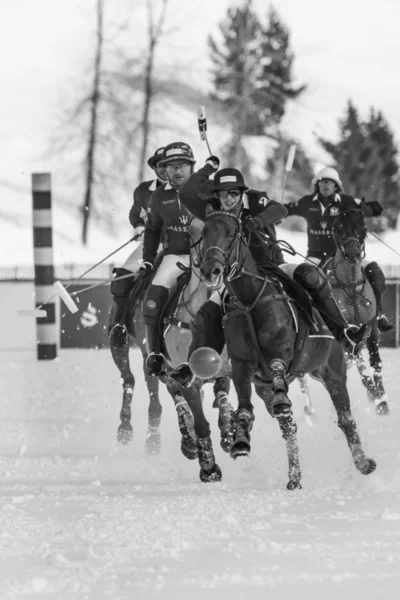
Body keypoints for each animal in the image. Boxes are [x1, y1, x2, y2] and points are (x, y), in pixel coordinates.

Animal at [198, 209, 376, 490]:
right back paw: (294, 477)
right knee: (288, 427)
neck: (249, 300)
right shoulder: (241, 365)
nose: (210, 270)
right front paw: (240, 441)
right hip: (266, 387)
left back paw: (363, 462)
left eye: (233, 232)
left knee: (345, 419)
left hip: (333, 369)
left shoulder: (282, 350)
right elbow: (245, 406)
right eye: (204, 232)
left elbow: (278, 365)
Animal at [300, 209, 388, 420]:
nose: (354, 251)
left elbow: (375, 363)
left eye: (363, 226)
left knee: (373, 268)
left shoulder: (370, 328)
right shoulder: (345, 333)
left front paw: (382, 402)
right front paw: (374, 394)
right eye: (339, 228)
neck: (350, 285)